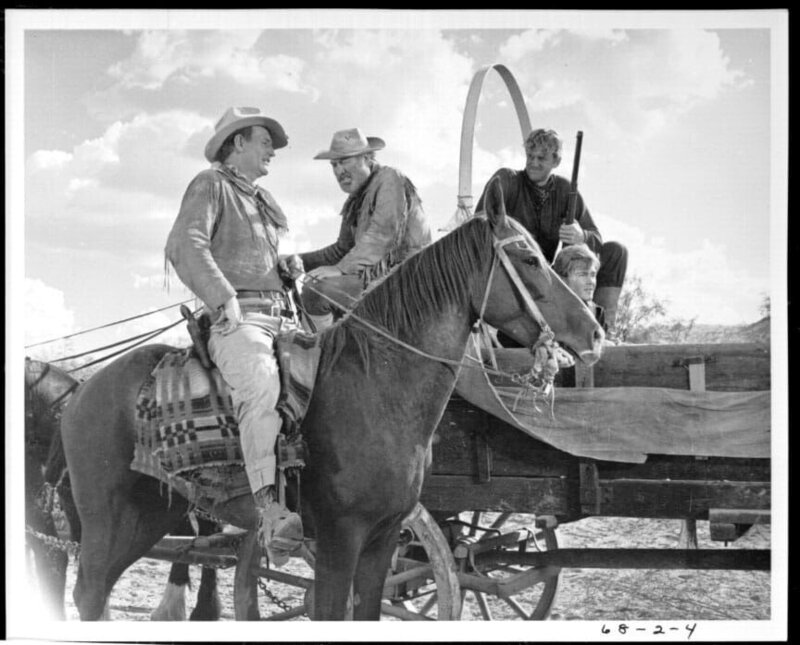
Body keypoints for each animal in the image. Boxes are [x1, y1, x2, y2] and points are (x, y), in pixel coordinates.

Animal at [60, 181, 604, 620]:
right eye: (530, 258)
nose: (594, 332)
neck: (375, 388)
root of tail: (81, 390)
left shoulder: (385, 538)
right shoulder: (340, 537)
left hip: (149, 513)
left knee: (97, 594)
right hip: (108, 518)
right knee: (88, 592)